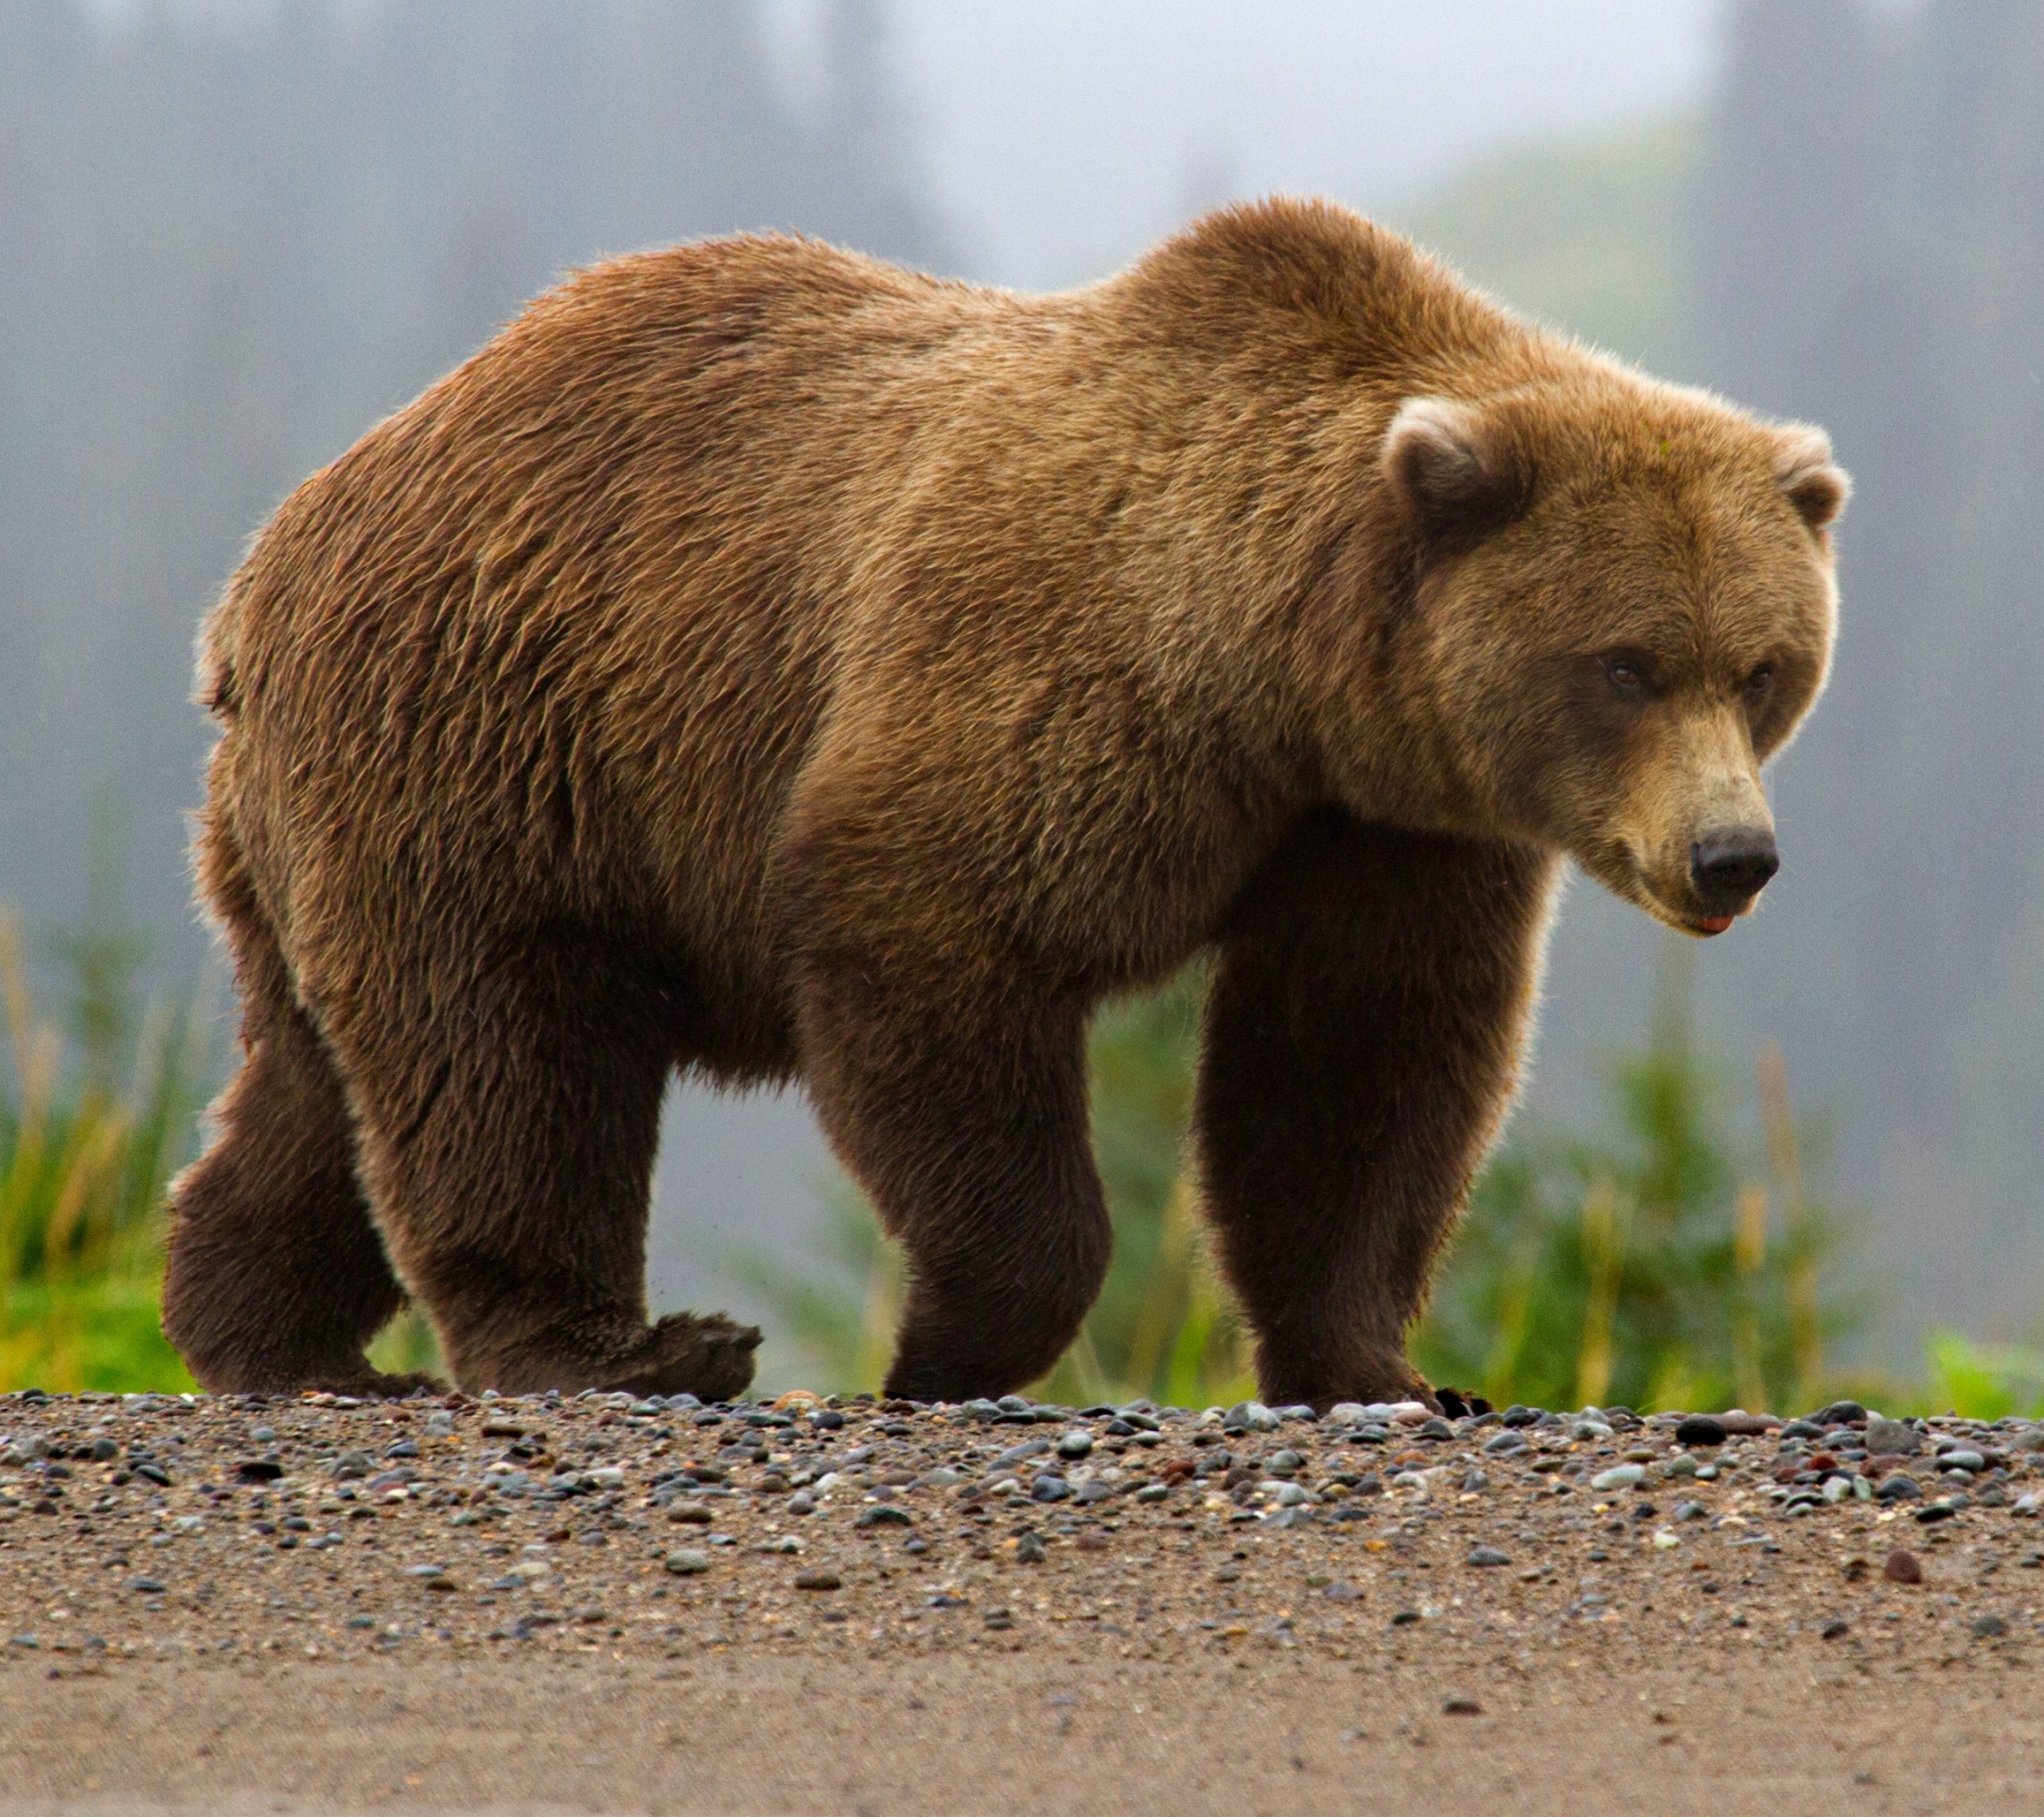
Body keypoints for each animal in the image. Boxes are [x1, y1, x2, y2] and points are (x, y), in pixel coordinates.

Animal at [159, 202, 1847, 1414]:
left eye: (1765, 667)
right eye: (1626, 664)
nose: (1733, 856)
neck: (1281, 673)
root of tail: (270, 559)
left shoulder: (1386, 826)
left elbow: (1357, 1067)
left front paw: (1387, 1368)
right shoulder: (1051, 680)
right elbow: (933, 938)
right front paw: (943, 1348)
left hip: (336, 814)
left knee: (319, 1081)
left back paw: (268, 1333)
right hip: (496, 739)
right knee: (504, 1053)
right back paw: (618, 1350)